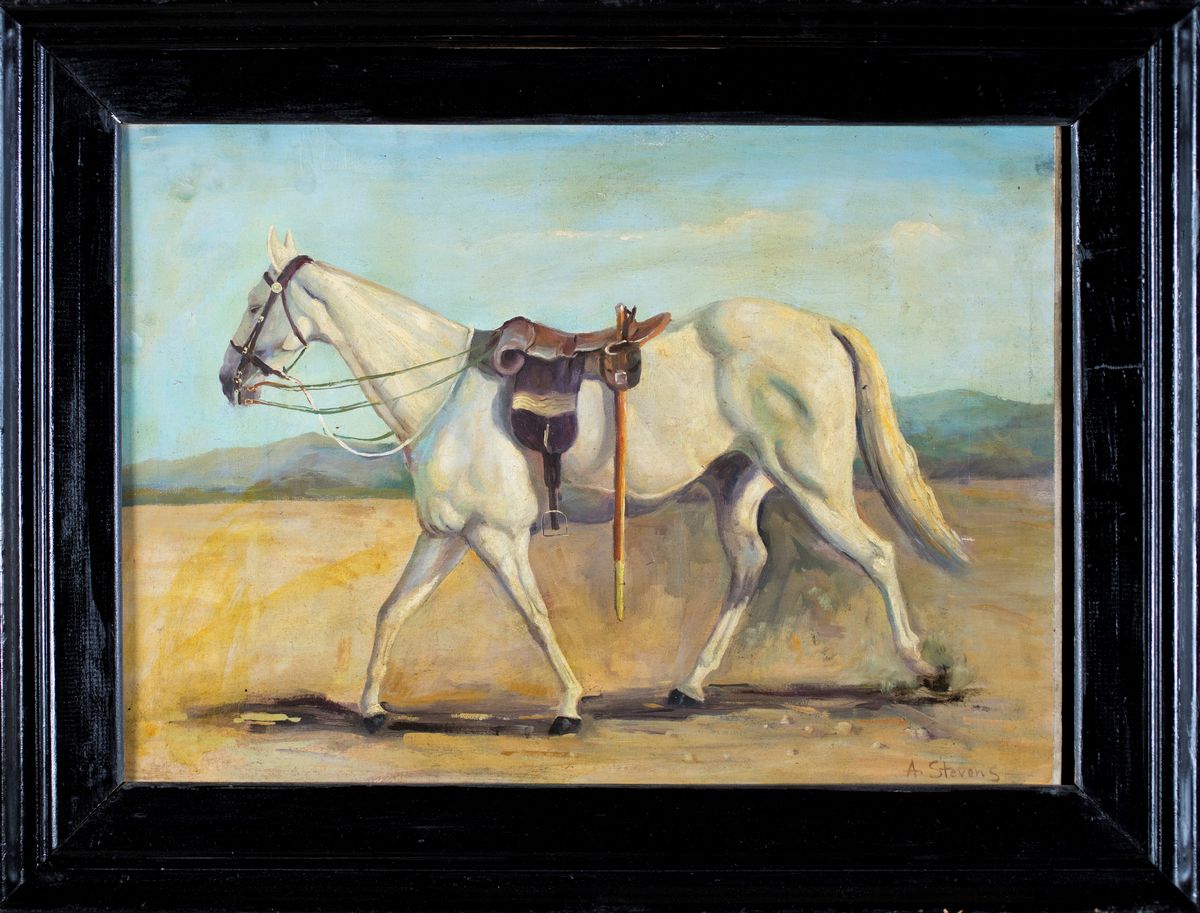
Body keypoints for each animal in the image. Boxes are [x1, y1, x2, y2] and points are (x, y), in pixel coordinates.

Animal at [218, 227, 969, 736]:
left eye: (258, 302)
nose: (230, 379)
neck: (443, 390)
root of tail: (823, 325)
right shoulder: (446, 535)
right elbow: (392, 611)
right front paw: (372, 707)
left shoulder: (495, 536)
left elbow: (534, 614)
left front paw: (569, 707)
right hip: (739, 482)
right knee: (751, 566)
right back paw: (690, 686)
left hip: (814, 484)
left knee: (876, 555)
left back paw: (924, 669)